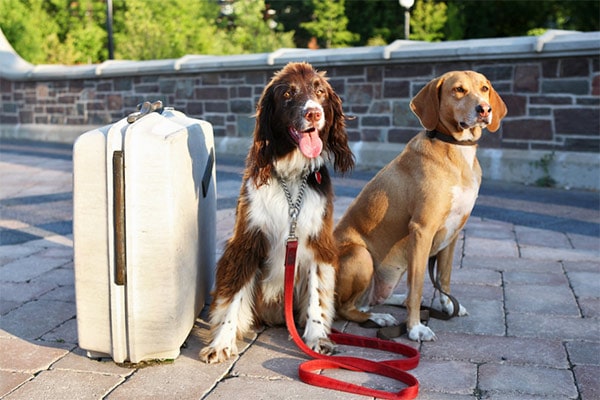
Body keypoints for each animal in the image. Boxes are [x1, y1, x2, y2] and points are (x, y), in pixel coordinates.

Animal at [199, 61, 354, 362]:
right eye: (287, 94)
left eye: (319, 91)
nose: (314, 113)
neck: (291, 175)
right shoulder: (246, 241)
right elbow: (233, 295)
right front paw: (222, 342)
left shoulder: (318, 242)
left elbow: (317, 295)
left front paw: (317, 337)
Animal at [338, 70, 506, 340]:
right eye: (458, 90)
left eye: (484, 88)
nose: (484, 109)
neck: (456, 150)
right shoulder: (422, 230)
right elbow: (417, 285)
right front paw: (415, 327)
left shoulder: (454, 232)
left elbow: (444, 277)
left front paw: (447, 306)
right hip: (359, 254)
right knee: (345, 309)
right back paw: (380, 317)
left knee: (370, 301)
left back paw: (395, 302)